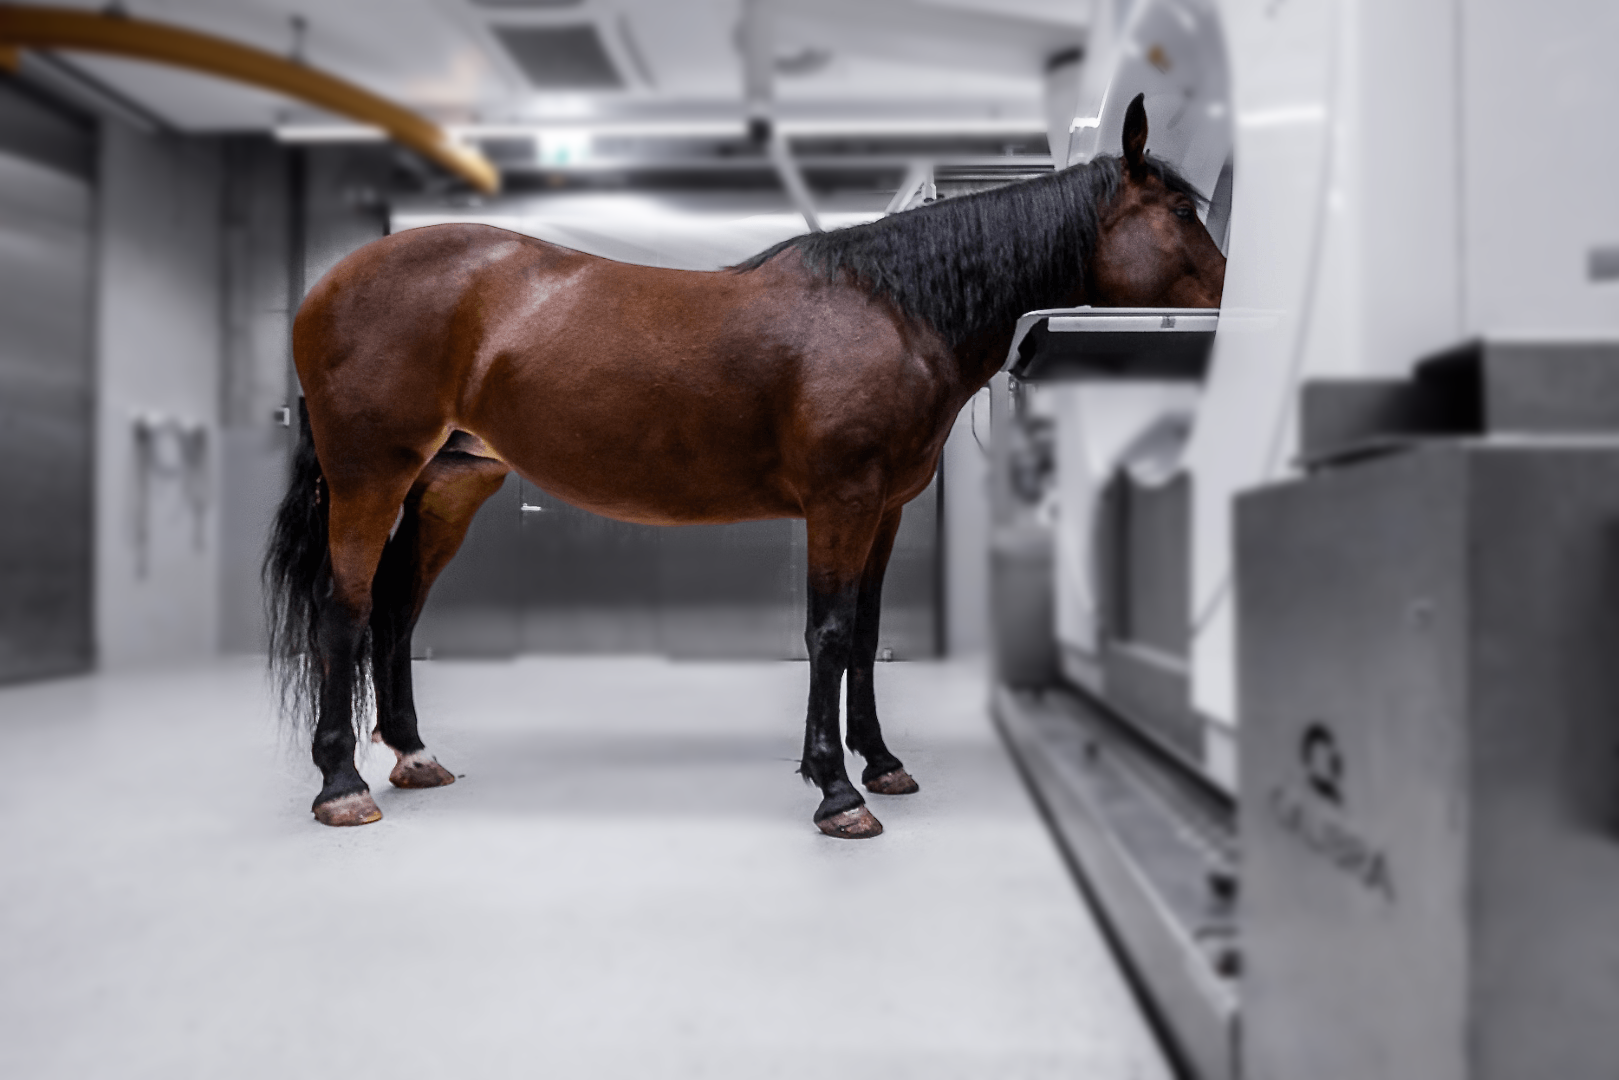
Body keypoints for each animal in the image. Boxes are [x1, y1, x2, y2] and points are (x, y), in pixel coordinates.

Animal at [264, 94, 1226, 838]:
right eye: (1182, 213)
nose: (1231, 298)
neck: (894, 310)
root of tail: (329, 282)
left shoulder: (886, 510)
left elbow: (866, 634)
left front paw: (881, 763)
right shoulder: (840, 502)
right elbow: (827, 632)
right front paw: (835, 791)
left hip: (449, 485)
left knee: (396, 610)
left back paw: (414, 756)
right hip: (369, 478)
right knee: (345, 611)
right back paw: (341, 787)